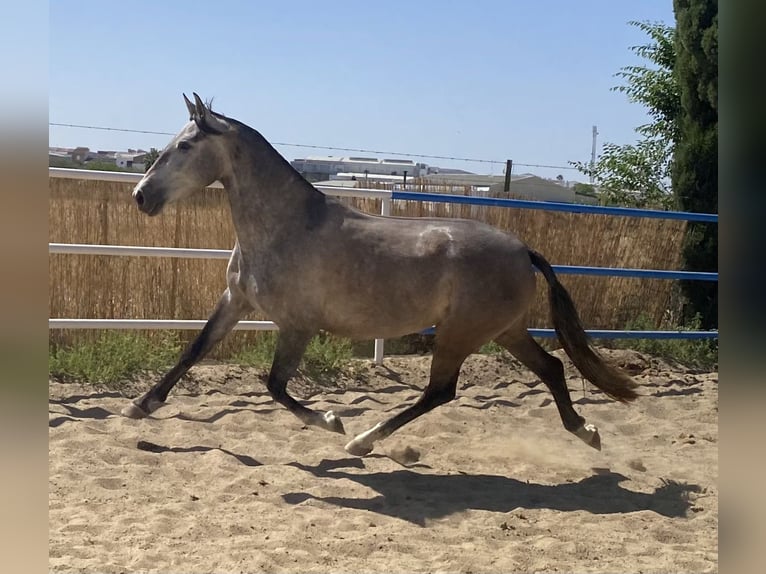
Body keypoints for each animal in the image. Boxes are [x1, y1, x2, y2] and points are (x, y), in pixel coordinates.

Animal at [123, 92, 640, 456]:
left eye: (185, 146)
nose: (141, 196)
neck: (286, 226)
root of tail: (523, 249)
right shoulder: (236, 301)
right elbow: (194, 350)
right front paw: (139, 407)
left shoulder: (297, 325)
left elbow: (275, 386)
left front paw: (332, 422)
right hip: (504, 330)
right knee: (551, 367)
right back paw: (586, 432)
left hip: (460, 334)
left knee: (440, 391)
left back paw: (362, 440)